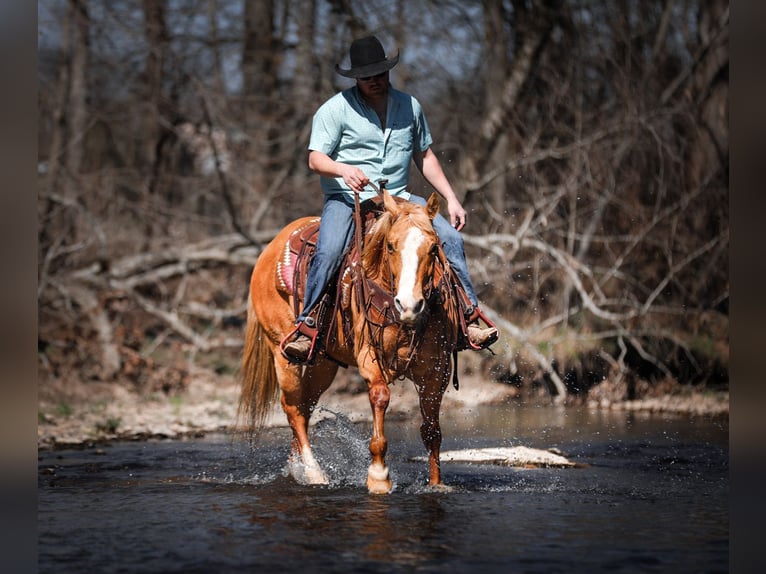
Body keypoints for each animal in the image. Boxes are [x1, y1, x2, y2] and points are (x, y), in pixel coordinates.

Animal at [238, 187, 462, 494]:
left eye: (433, 248)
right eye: (391, 246)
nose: (409, 305)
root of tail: (269, 250)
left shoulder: (436, 370)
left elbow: (431, 431)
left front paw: (437, 484)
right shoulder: (368, 355)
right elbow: (380, 397)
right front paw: (378, 476)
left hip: (323, 363)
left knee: (305, 407)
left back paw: (298, 468)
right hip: (282, 354)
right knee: (292, 407)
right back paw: (314, 472)